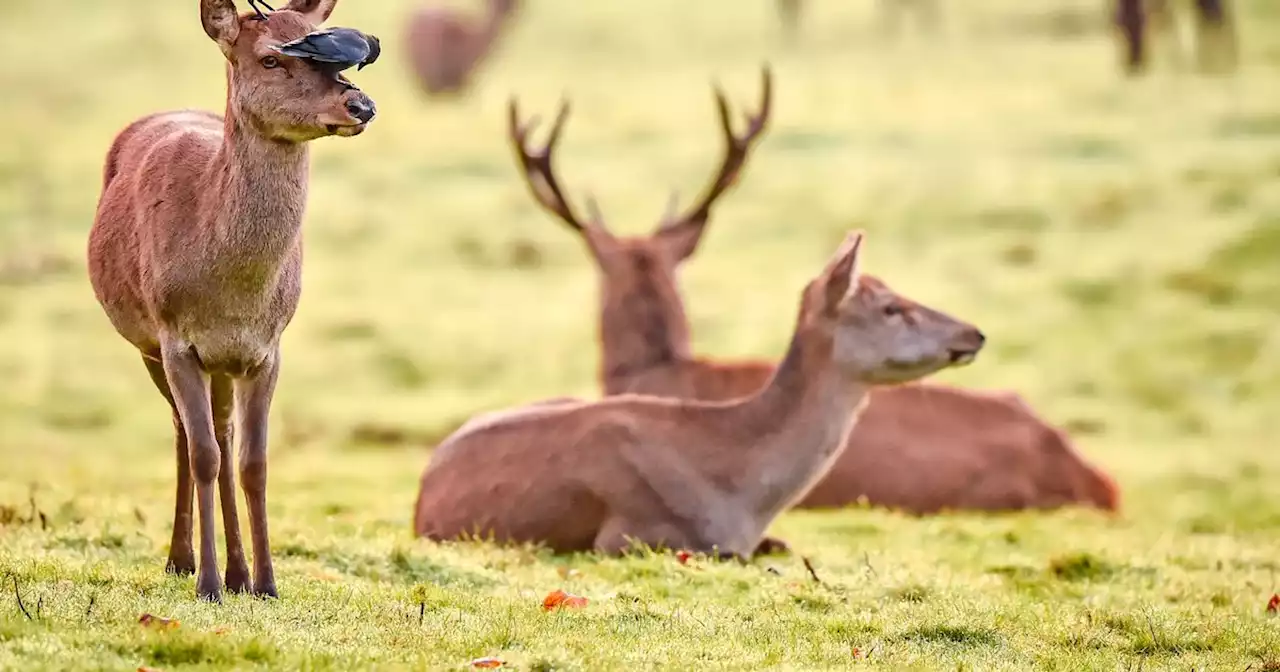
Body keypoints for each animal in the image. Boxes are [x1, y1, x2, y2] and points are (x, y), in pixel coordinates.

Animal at [83, 0, 373, 599]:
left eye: (321, 43)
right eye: (269, 58)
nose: (360, 103)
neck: (234, 297)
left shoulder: (266, 350)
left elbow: (252, 462)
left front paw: (266, 583)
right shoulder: (175, 338)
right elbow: (204, 456)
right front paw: (208, 584)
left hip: (221, 365)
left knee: (221, 432)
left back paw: (237, 572)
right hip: (149, 345)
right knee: (185, 436)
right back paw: (182, 560)